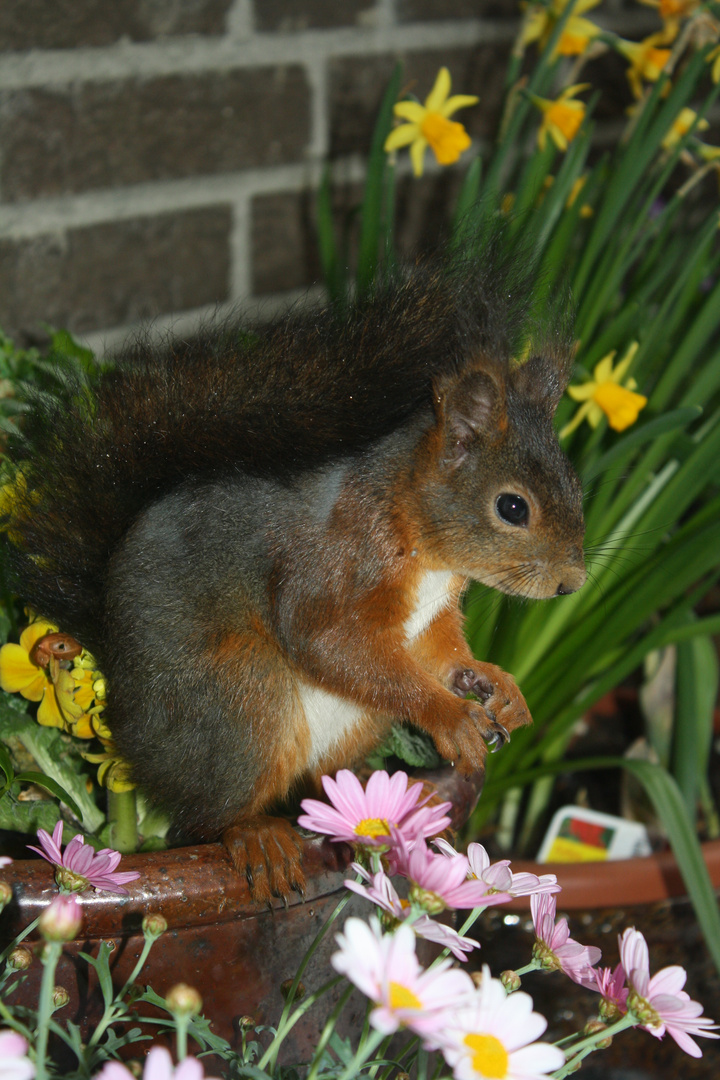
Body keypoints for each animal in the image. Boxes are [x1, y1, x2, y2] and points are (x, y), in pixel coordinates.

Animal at [4, 238, 587, 902]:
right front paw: (449, 713)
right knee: (203, 819)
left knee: (323, 786)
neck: (422, 543)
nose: (572, 583)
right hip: (239, 703)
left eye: (575, 485)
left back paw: (388, 803)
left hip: (351, 723)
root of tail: (126, 722)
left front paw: (495, 684)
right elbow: (325, 640)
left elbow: (442, 654)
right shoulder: (330, 566)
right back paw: (256, 834)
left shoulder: (431, 618)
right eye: (512, 507)